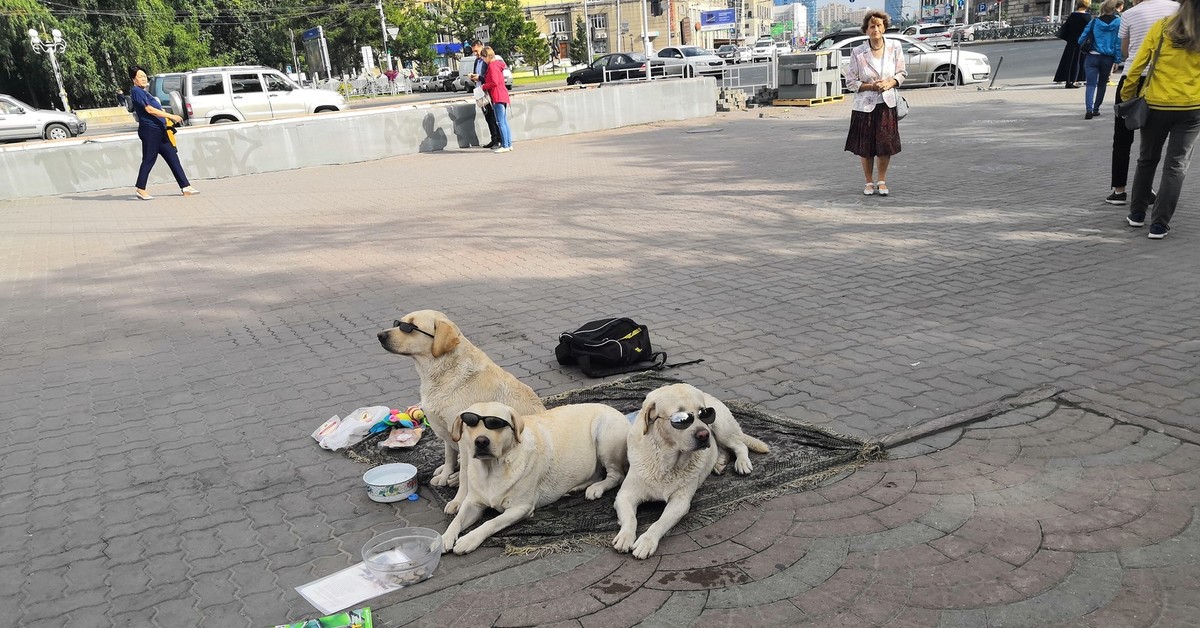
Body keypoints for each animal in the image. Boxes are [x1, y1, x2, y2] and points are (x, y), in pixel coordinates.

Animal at [376, 309, 547, 516]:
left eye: (409, 327)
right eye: (398, 323)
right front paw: (445, 475)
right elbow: (449, 457)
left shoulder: (465, 441)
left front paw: (458, 501)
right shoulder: (449, 433)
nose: (380, 335)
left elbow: (467, 476)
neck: (439, 371)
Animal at [439, 403, 628, 554]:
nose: (481, 441)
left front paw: (469, 539)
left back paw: (597, 488)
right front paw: (444, 538)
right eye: (470, 423)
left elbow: (491, 523)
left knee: (616, 475)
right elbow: (456, 520)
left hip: (604, 437)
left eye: (496, 423)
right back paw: (577, 488)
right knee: (597, 473)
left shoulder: (520, 508)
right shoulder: (472, 502)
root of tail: (618, 412)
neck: (492, 469)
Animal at [609, 384, 768, 559]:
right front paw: (625, 536)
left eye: (703, 413)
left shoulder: (680, 501)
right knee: (723, 448)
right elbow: (631, 517)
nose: (704, 434)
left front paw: (646, 541)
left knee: (740, 445)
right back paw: (719, 462)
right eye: (681, 419)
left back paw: (742, 462)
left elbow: (660, 522)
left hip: (721, 427)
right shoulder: (625, 495)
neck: (667, 462)